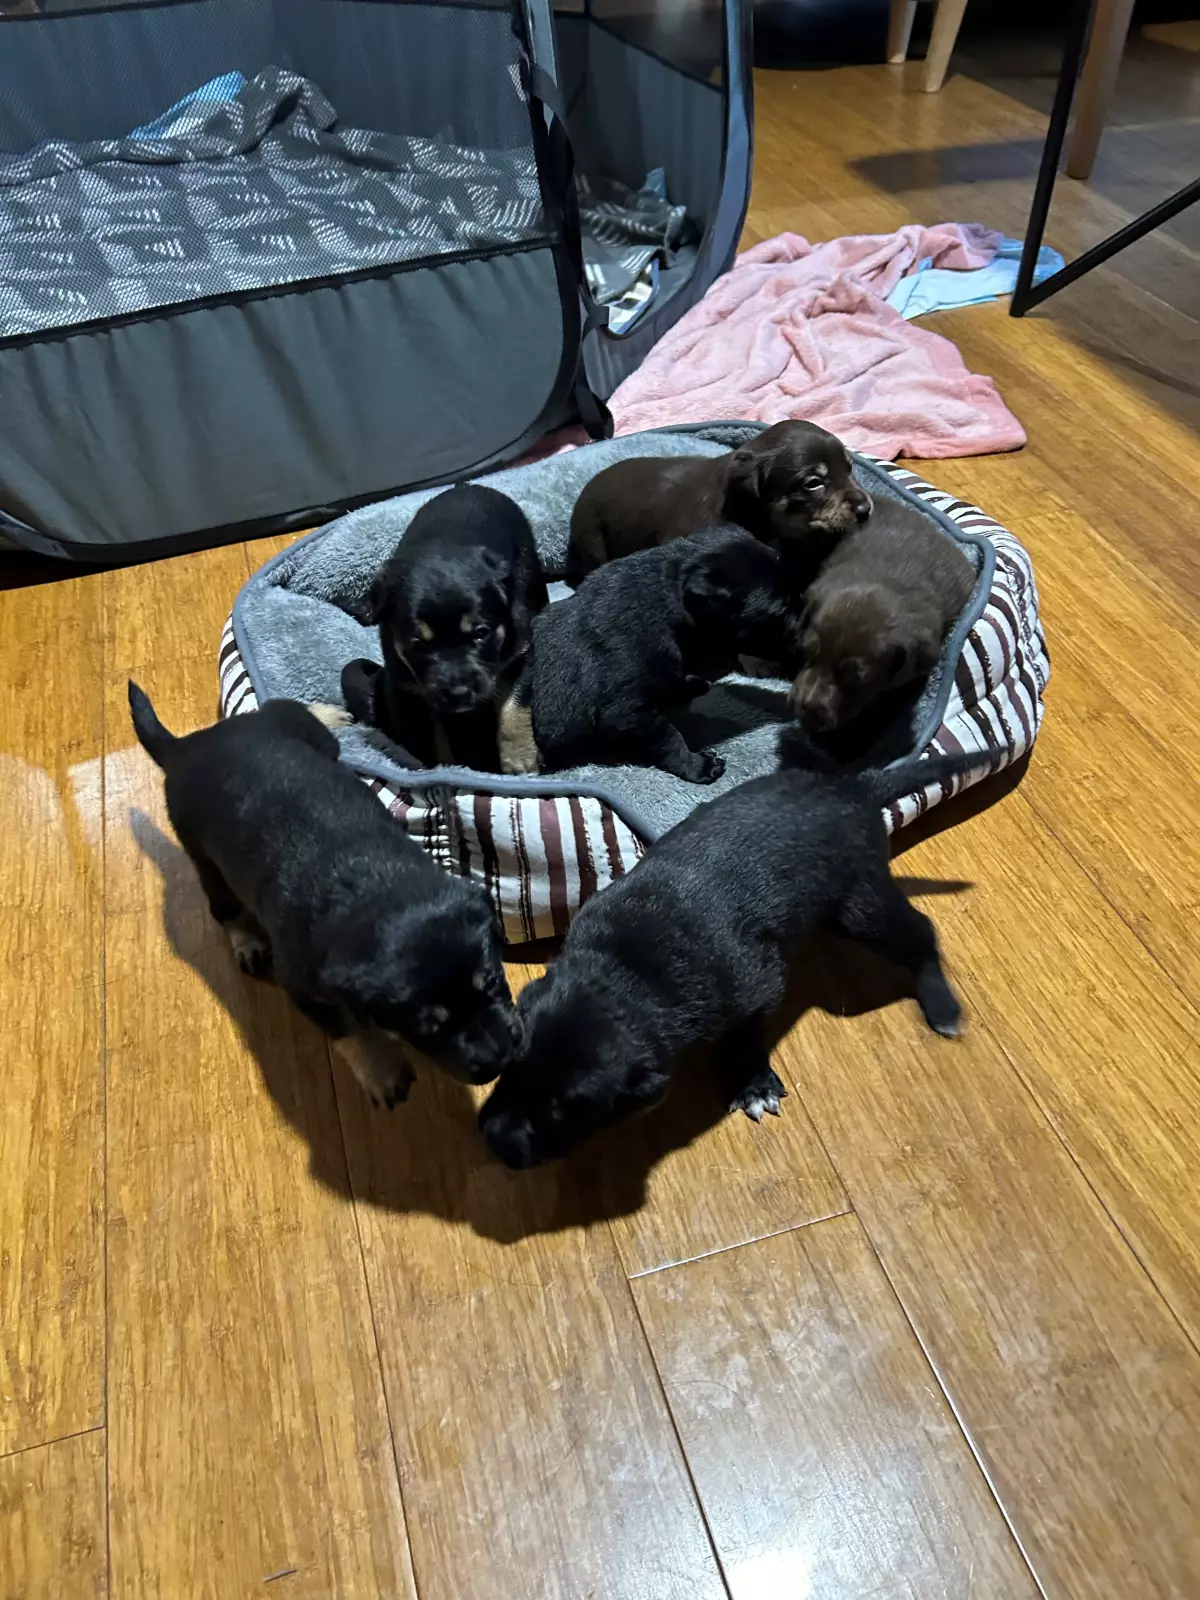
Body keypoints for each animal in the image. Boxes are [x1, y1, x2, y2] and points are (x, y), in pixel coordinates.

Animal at [128, 684, 521, 1107]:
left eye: (492, 981)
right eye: (428, 1026)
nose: (501, 1057)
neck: (375, 893)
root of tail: (187, 745)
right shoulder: (301, 987)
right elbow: (349, 1033)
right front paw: (383, 1072)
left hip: (306, 735)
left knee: (292, 712)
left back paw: (328, 712)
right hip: (201, 852)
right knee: (223, 907)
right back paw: (246, 941)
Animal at [341, 484, 548, 773]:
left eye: (481, 634)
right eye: (418, 644)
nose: (459, 693)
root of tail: (471, 485)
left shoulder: (521, 648)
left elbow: (514, 702)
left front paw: (520, 759)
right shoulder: (408, 688)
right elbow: (429, 738)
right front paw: (447, 770)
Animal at [479, 727, 992, 1168]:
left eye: (568, 1110)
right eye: (512, 1066)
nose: (494, 1142)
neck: (624, 972)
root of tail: (855, 789)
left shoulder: (756, 988)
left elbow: (745, 1036)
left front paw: (752, 1082)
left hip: (860, 906)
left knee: (922, 932)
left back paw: (942, 1005)